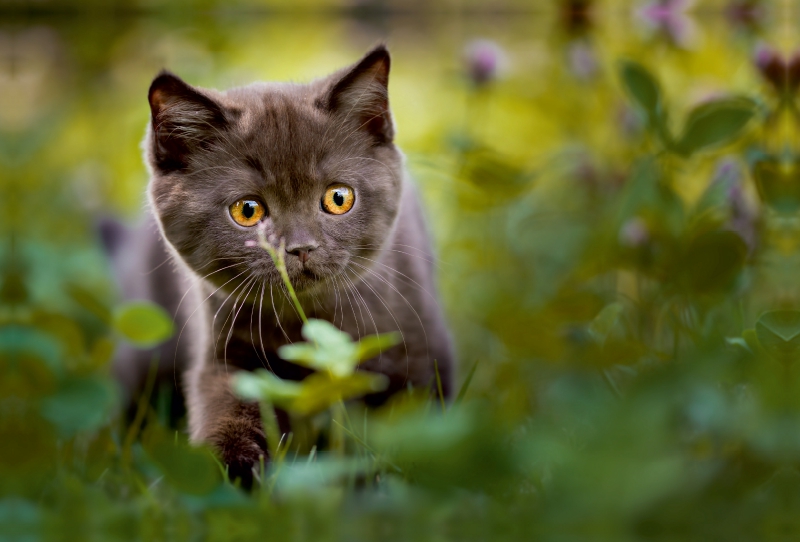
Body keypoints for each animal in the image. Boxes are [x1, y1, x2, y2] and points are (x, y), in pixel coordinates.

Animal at [107, 45, 454, 488]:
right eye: (248, 210)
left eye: (338, 197)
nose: (301, 247)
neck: (306, 318)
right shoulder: (225, 349)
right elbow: (226, 408)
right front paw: (228, 475)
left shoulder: (421, 350)